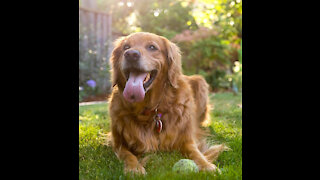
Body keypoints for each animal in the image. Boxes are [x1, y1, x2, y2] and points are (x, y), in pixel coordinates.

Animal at [109, 31, 226, 174]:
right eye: (126, 47)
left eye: (152, 47)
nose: (131, 54)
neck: (150, 110)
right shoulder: (118, 143)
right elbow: (128, 155)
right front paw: (134, 168)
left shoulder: (187, 139)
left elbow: (195, 152)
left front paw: (207, 165)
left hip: (201, 82)